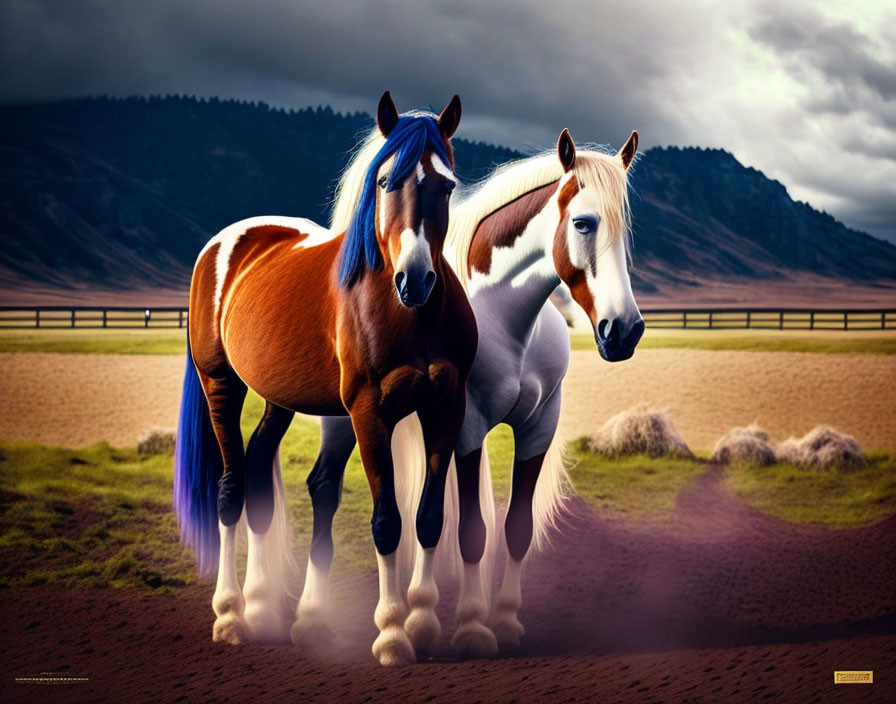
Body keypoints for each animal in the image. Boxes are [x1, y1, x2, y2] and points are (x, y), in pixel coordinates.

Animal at [171, 92, 472, 664]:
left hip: (278, 399)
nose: (415, 280)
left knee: (258, 478)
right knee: (231, 489)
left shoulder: (446, 406)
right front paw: (392, 634)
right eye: (384, 181)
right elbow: (387, 523)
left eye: (446, 185)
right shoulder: (368, 412)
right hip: (221, 384)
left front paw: (423, 624)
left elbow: (428, 519)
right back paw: (231, 617)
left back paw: (263, 611)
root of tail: (222, 244)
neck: (407, 315)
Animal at [308, 129, 644, 656]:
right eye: (584, 223)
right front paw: (470, 628)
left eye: (624, 231)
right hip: (344, 423)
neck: (508, 319)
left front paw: (503, 620)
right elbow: (470, 530)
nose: (624, 330)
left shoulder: (538, 430)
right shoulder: (467, 430)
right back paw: (313, 617)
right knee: (325, 489)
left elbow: (515, 528)